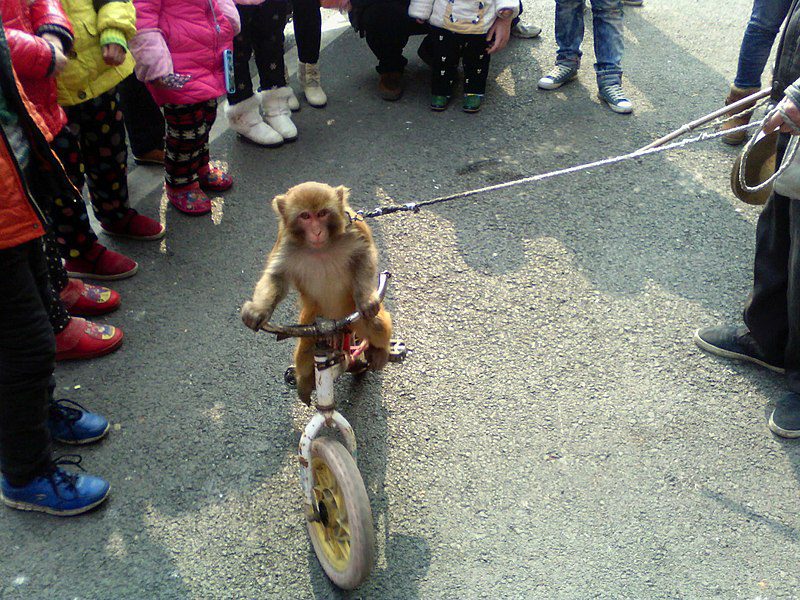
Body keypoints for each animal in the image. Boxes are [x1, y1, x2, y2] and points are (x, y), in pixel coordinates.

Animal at [242, 179, 396, 404]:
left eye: (322, 213)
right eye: (305, 216)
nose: (316, 231)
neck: (321, 248)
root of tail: (338, 323)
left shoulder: (352, 229)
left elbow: (364, 256)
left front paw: (367, 299)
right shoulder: (286, 245)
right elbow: (276, 278)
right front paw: (258, 311)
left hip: (353, 315)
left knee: (374, 324)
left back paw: (380, 351)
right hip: (311, 322)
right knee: (306, 349)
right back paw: (305, 382)